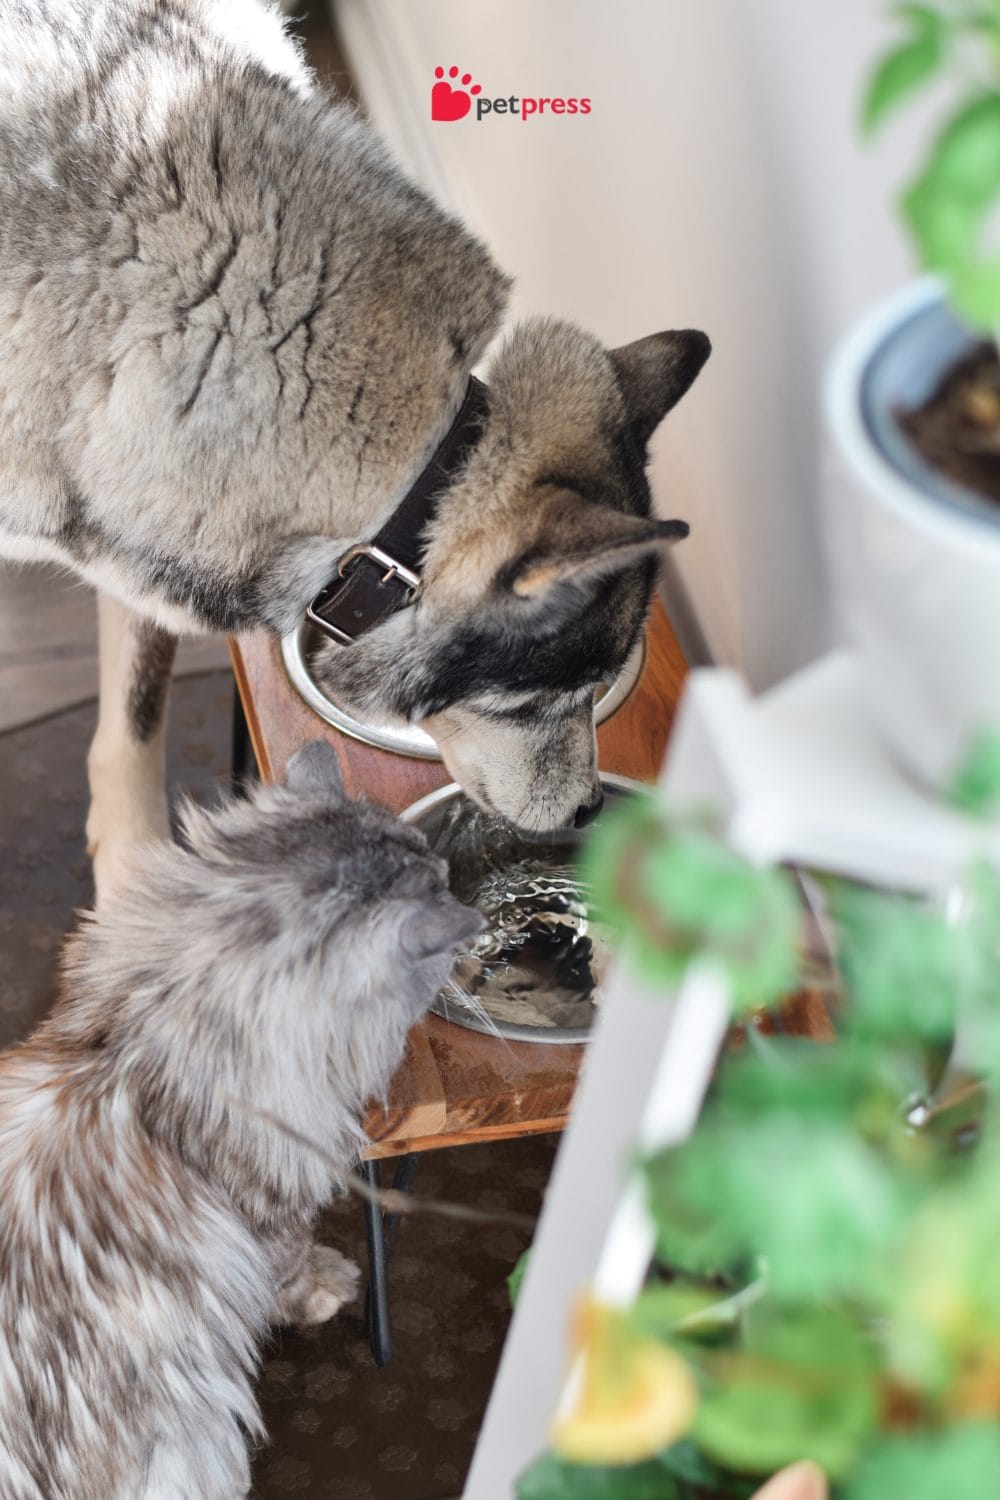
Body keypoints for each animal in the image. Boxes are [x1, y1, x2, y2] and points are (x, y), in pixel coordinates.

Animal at [0, 740, 483, 1498]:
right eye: (437, 879)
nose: (455, 886)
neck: (137, 1045)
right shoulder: (273, 1210)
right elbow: (292, 1267)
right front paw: (329, 1285)